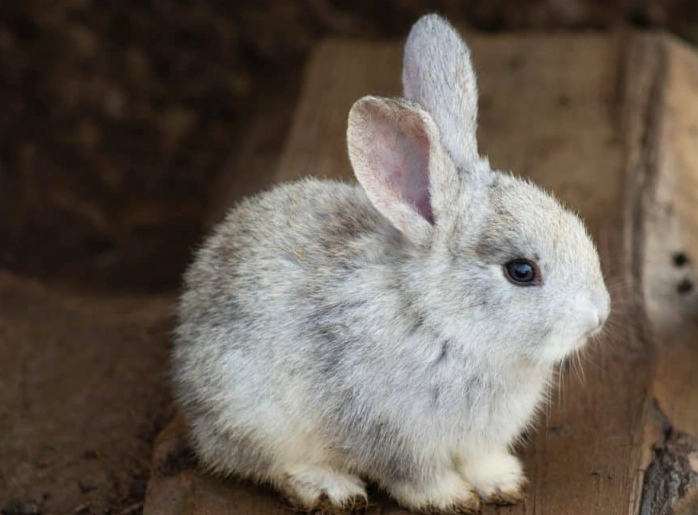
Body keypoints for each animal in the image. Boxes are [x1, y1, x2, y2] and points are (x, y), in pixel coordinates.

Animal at [172, 13, 611, 514]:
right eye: (521, 271)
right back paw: (330, 488)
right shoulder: (391, 435)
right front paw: (451, 498)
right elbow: (415, 477)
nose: (599, 316)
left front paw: (502, 483)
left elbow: (481, 460)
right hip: (252, 412)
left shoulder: (478, 441)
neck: (441, 322)